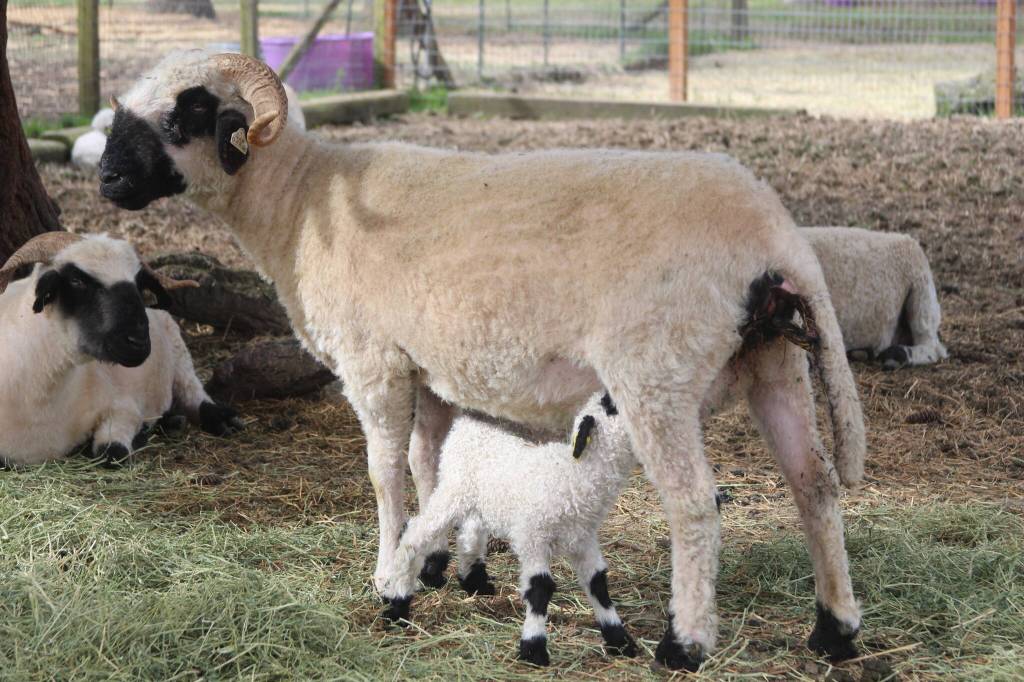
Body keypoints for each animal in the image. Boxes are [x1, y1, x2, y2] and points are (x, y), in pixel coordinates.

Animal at [0, 232, 243, 467]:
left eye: (138, 284)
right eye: (76, 280)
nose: (139, 342)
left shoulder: (124, 405)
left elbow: (112, 454)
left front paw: (138, 437)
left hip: (179, 352)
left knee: (194, 392)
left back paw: (222, 420)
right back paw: (173, 421)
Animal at [382, 392, 638, 666]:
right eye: (611, 406)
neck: (572, 473)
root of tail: (468, 422)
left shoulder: (583, 539)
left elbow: (597, 583)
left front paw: (620, 639)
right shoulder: (532, 536)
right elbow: (540, 588)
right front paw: (534, 648)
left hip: (479, 496)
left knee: (470, 533)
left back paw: (475, 582)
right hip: (453, 490)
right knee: (415, 535)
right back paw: (397, 604)